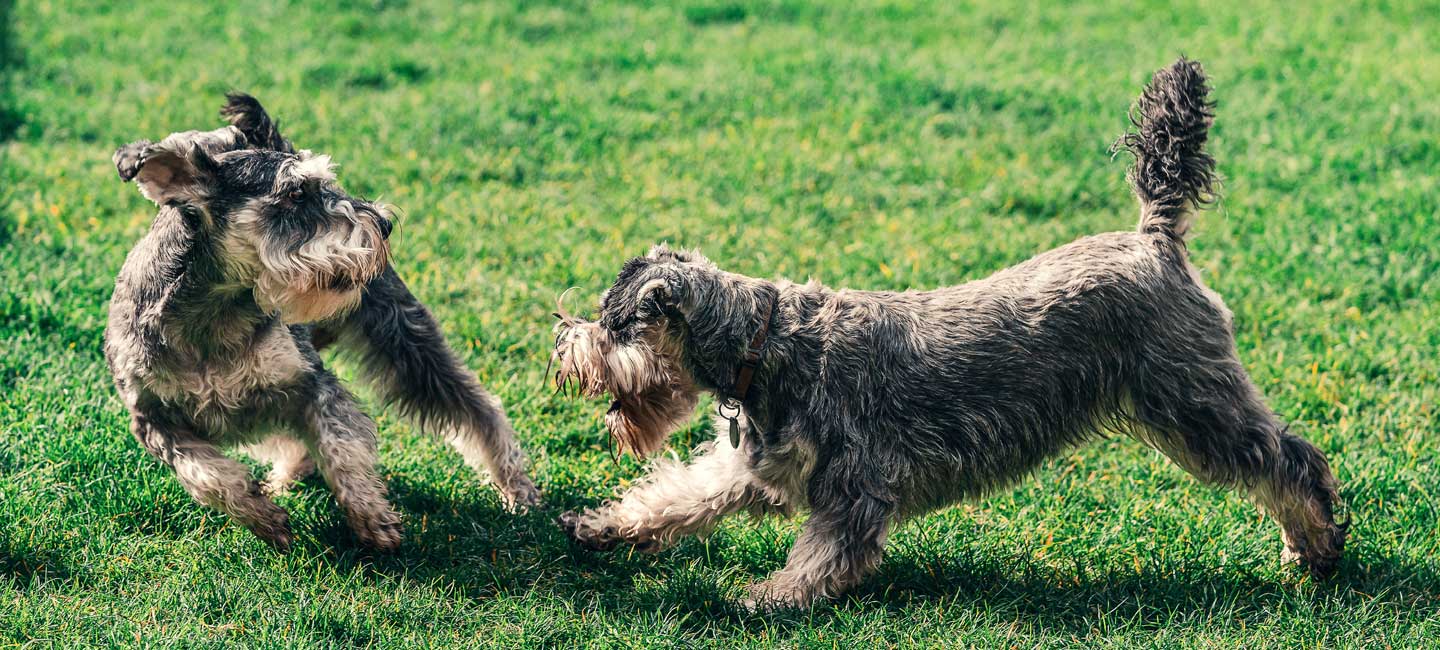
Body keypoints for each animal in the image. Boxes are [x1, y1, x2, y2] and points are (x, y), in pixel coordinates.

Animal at [102, 92, 541, 550]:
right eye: (296, 192)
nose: (384, 223)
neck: (211, 317)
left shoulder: (311, 384)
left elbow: (340, 448)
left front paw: (372, 519)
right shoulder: (155, 421)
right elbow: (208, 476)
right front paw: (265, 518)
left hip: (404, 338)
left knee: (478, 408)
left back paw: (517, 488)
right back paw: (283, 481)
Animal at [552, 57, 1347, 611]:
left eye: (614, 322)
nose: (562, 341)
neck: (764, 344)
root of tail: (1156, 238)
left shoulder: (856, 485)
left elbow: (824, 555)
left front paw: (767, 599)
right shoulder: (752, 467)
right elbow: (678, 495)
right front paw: (604, 528)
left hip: (1194, 405)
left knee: (1292, 463)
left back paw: (1314, 550)